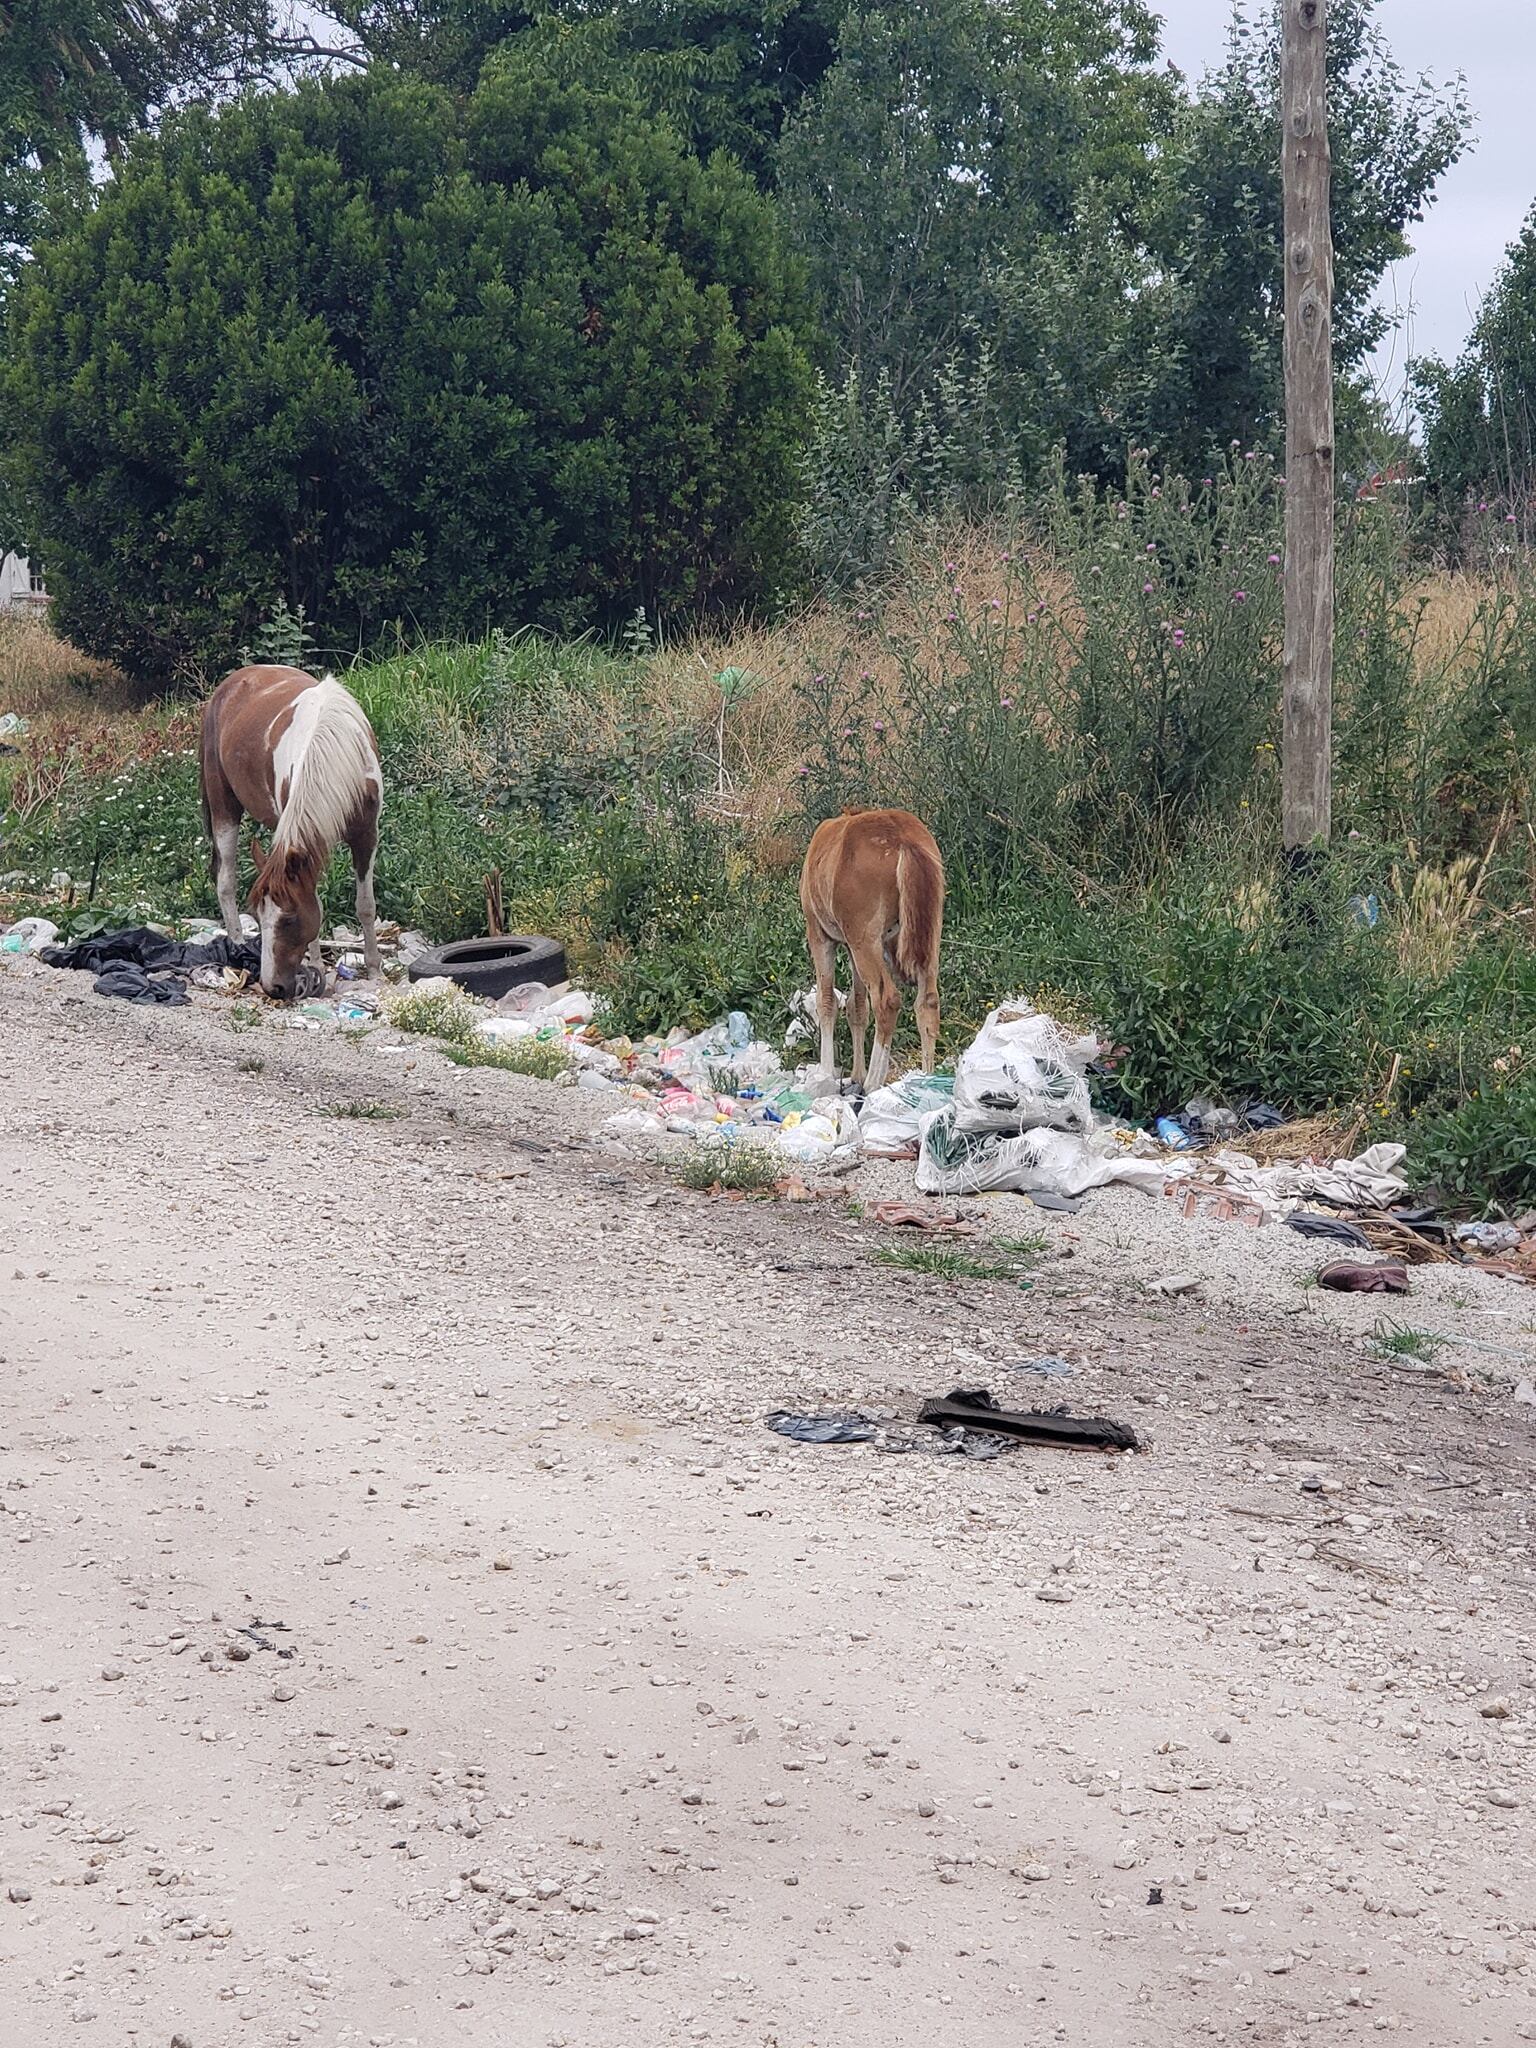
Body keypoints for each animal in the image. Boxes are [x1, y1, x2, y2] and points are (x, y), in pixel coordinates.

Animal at [201, 663, 385, 999]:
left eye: (289, 920)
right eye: (259, 917)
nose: (272, 987)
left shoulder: (366, 835)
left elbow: (365, 905)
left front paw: (375, 969)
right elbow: (319, 904)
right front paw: (317, 968)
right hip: (224, 809)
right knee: (225, 882)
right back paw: (237, 947)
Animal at [798, 802, 946, 1097]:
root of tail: (904, 840)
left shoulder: (821, 936)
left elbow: (826, 1001)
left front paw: (826, 1075)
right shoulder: (852, 947)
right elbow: (857, 1006)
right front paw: (855, 1074)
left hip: (865, 941)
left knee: (887, 1000)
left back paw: (873, 1083)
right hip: (929, 935)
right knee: (928, 1000)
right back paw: (926, 1079)